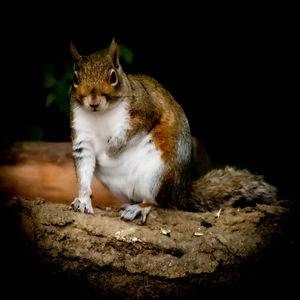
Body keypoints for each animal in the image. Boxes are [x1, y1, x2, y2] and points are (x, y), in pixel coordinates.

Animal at [69, 38, 278, 223]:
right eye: (75, 79)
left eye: (113, 77)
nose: (93, 102)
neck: (100, 114)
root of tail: (179, 192)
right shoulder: (82, 136)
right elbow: (84, 170)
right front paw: (83, 200)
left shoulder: (146, 110)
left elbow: (132, 131)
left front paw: (112, 149)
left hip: (158, 174)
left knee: (158, 202)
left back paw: (141, 207)